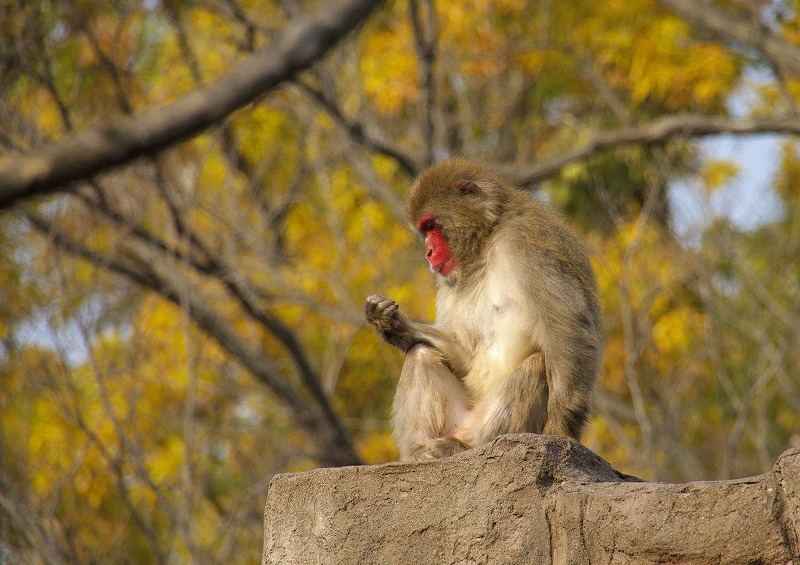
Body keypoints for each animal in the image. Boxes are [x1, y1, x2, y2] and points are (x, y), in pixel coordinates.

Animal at [364, 156, 600, 460]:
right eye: (424, 230)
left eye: (432, 226)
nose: (428, 253)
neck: (486, 241)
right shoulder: (448, 279)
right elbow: (465, 350)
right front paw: (390, 323)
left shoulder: (526, 244)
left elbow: (567, 328)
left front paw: (561, 427)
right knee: (420, 354)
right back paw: (420, 450)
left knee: (537, 363)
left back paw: (468, 446)